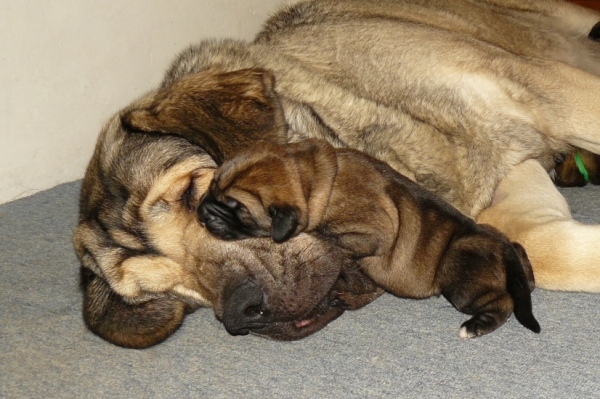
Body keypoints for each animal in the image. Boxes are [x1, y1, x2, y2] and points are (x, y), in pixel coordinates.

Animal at [199, 139, 540, 340]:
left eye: (237, 210)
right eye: (212, 186)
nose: (203, 210)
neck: (310, 177)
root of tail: (498, 245)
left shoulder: (368, 233)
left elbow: (333, 238)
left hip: (460, 279)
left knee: (502, 302)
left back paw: (476, 325)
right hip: (506, 253)